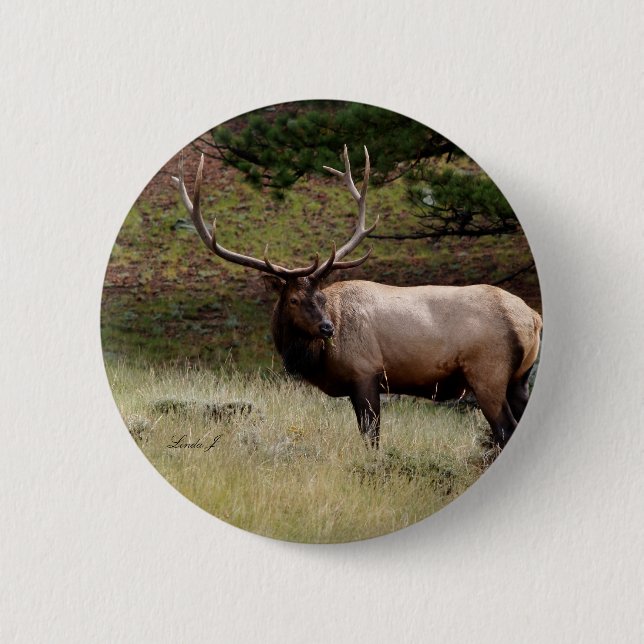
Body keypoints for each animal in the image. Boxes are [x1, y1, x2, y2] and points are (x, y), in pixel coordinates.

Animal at [172, 146, 542, 449]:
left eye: (321, 298)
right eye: (294, 300)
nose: (327, 328)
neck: (316, 359)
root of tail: (533, 319)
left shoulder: (365, 373)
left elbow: (371, 438)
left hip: (488, 373)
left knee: (504, 430)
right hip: (519, 380)